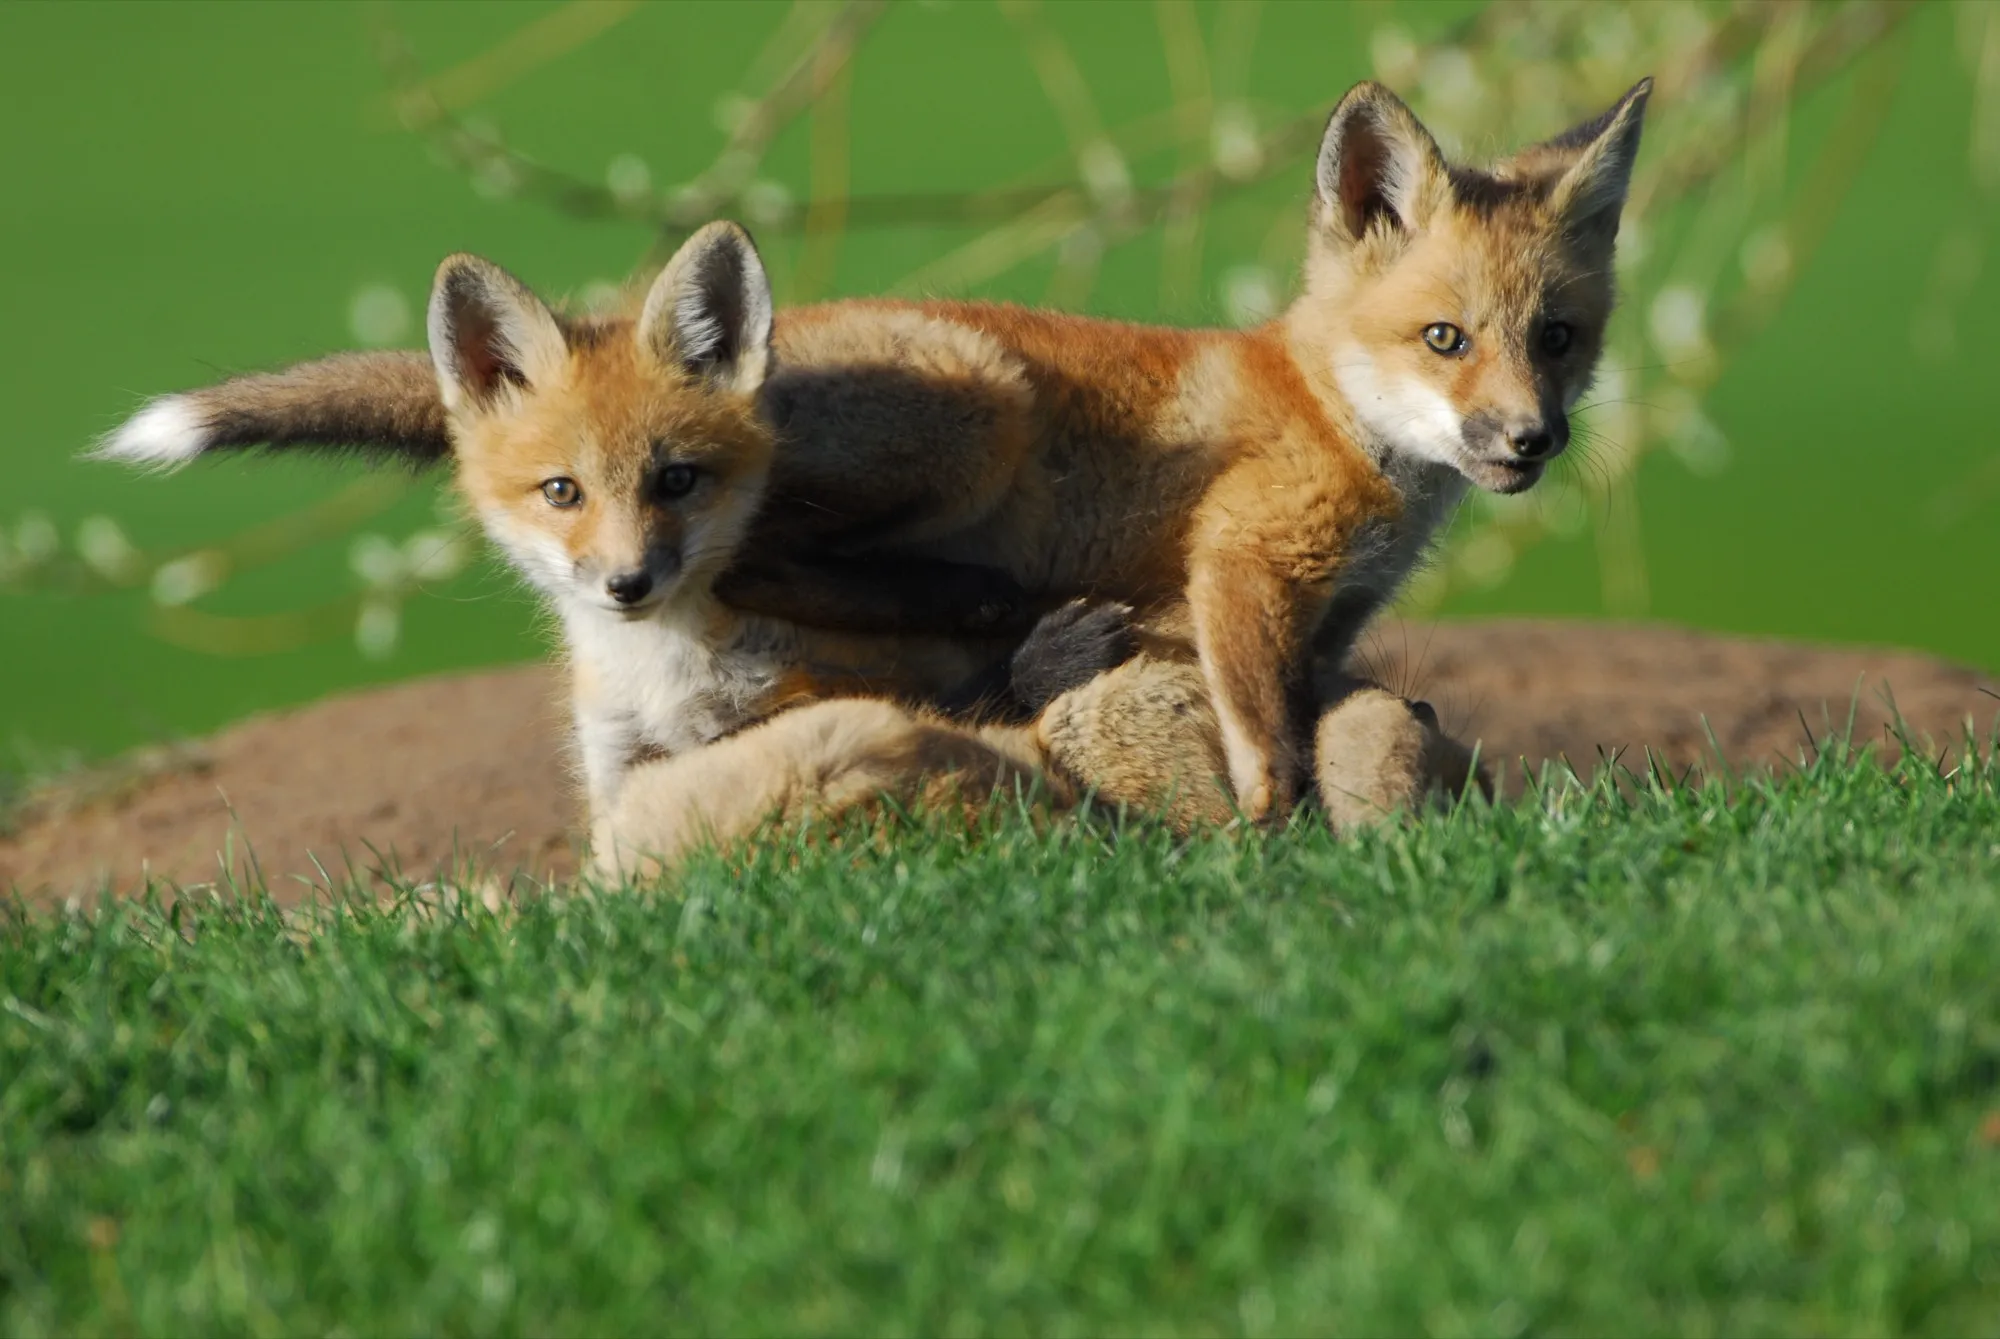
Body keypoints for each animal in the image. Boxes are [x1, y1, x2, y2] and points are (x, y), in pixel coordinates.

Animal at [100, 78, 1648, 827]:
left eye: (1558, 338)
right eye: (1445, 338)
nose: (1529, 440)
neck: (1326, 403)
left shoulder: (1334, 614)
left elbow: (1325, 699)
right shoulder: (1245, 565)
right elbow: (1263, 732)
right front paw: (1274, 832)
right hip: (982, 408)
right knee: (773, 565)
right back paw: (986, 613)